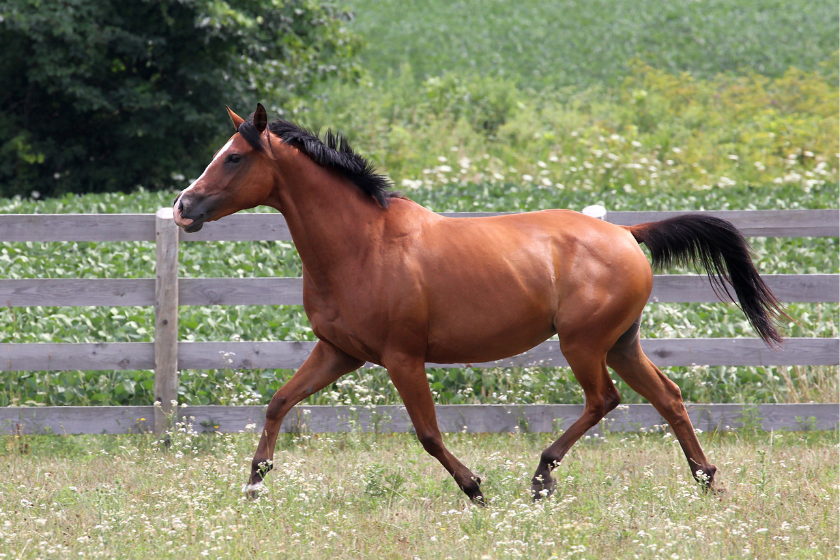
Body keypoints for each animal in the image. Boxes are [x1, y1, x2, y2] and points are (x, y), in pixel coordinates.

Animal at [174, 104, 784, 504]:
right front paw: (253, 483)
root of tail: (628, 234)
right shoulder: (338, 352)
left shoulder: (402, 358)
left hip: (583, 344)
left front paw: (474, 489)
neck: (362, 245)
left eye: (233, 158)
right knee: (669, 398)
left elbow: (427, 434)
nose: (183, 206)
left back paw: (542, 477)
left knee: (604, 400)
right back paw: (706, 480)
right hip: (620, 344)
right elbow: (278, 402)